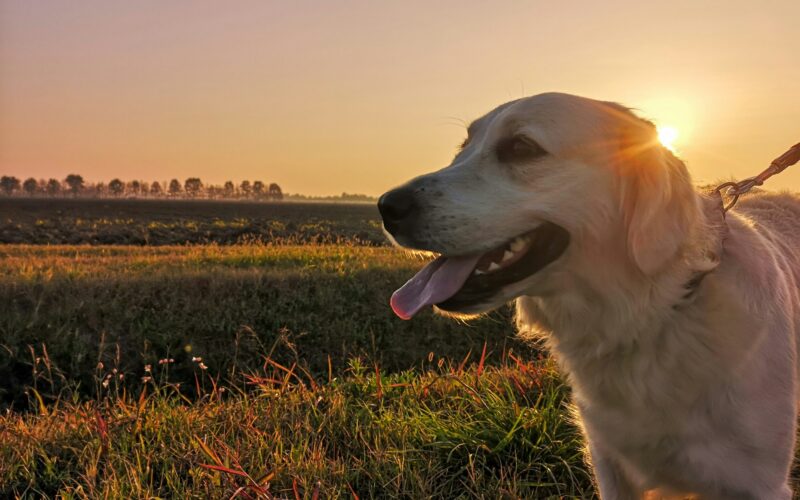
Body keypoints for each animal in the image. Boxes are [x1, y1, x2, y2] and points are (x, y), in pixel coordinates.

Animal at [380, 93, 800, 496]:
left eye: (521, 147)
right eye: (463, 147)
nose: (387, 206)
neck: (654, 316)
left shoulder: (758, 481)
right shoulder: (610, 463)